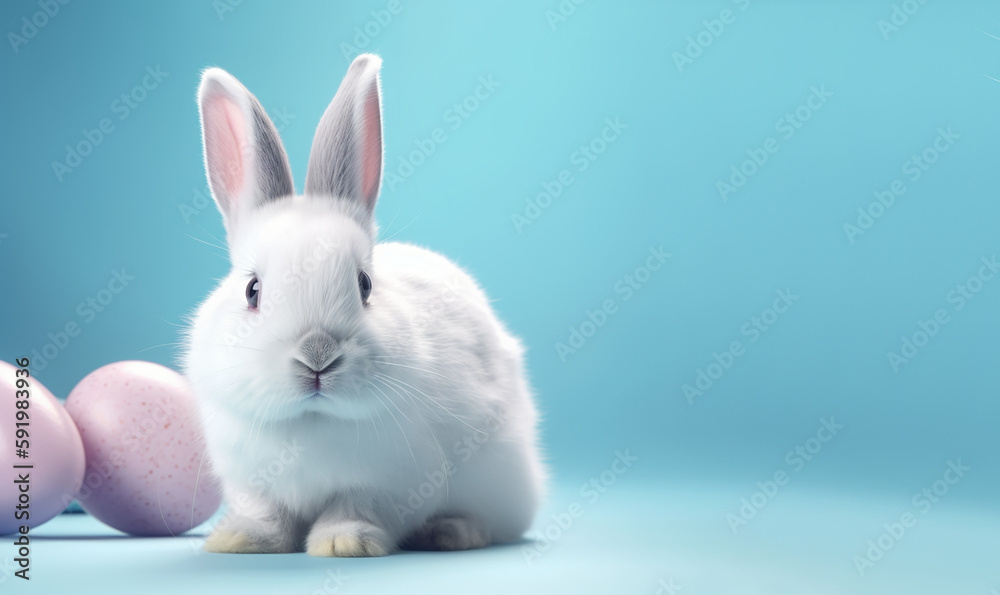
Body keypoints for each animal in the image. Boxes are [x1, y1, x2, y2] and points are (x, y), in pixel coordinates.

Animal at [182, 54, 545, 557]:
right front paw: (239, 539)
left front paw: (344, 543)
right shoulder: (251, 482)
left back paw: (452, 532)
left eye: (365, 285)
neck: (312, 421)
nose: (317, 355)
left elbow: (355, 508)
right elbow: (266, 513)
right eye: (253, 290)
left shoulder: (389, 484)